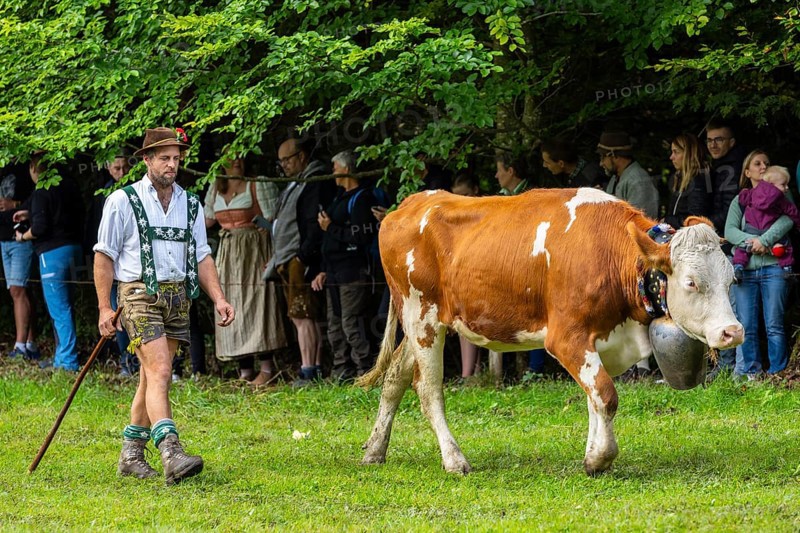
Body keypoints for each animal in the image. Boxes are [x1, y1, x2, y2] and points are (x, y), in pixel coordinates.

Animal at [357, 187, 744, 476]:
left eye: (732, 279)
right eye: (692, 283)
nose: (733, 331)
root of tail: (409, 204)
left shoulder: (599, 341)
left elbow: (594, 398)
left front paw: (593, 453)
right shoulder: (567, 337)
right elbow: (606, 395)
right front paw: (599, 458)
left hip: (422, 321)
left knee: (394, 378)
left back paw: (374, 450)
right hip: (421, 315)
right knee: (428, 389)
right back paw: (454, 459)